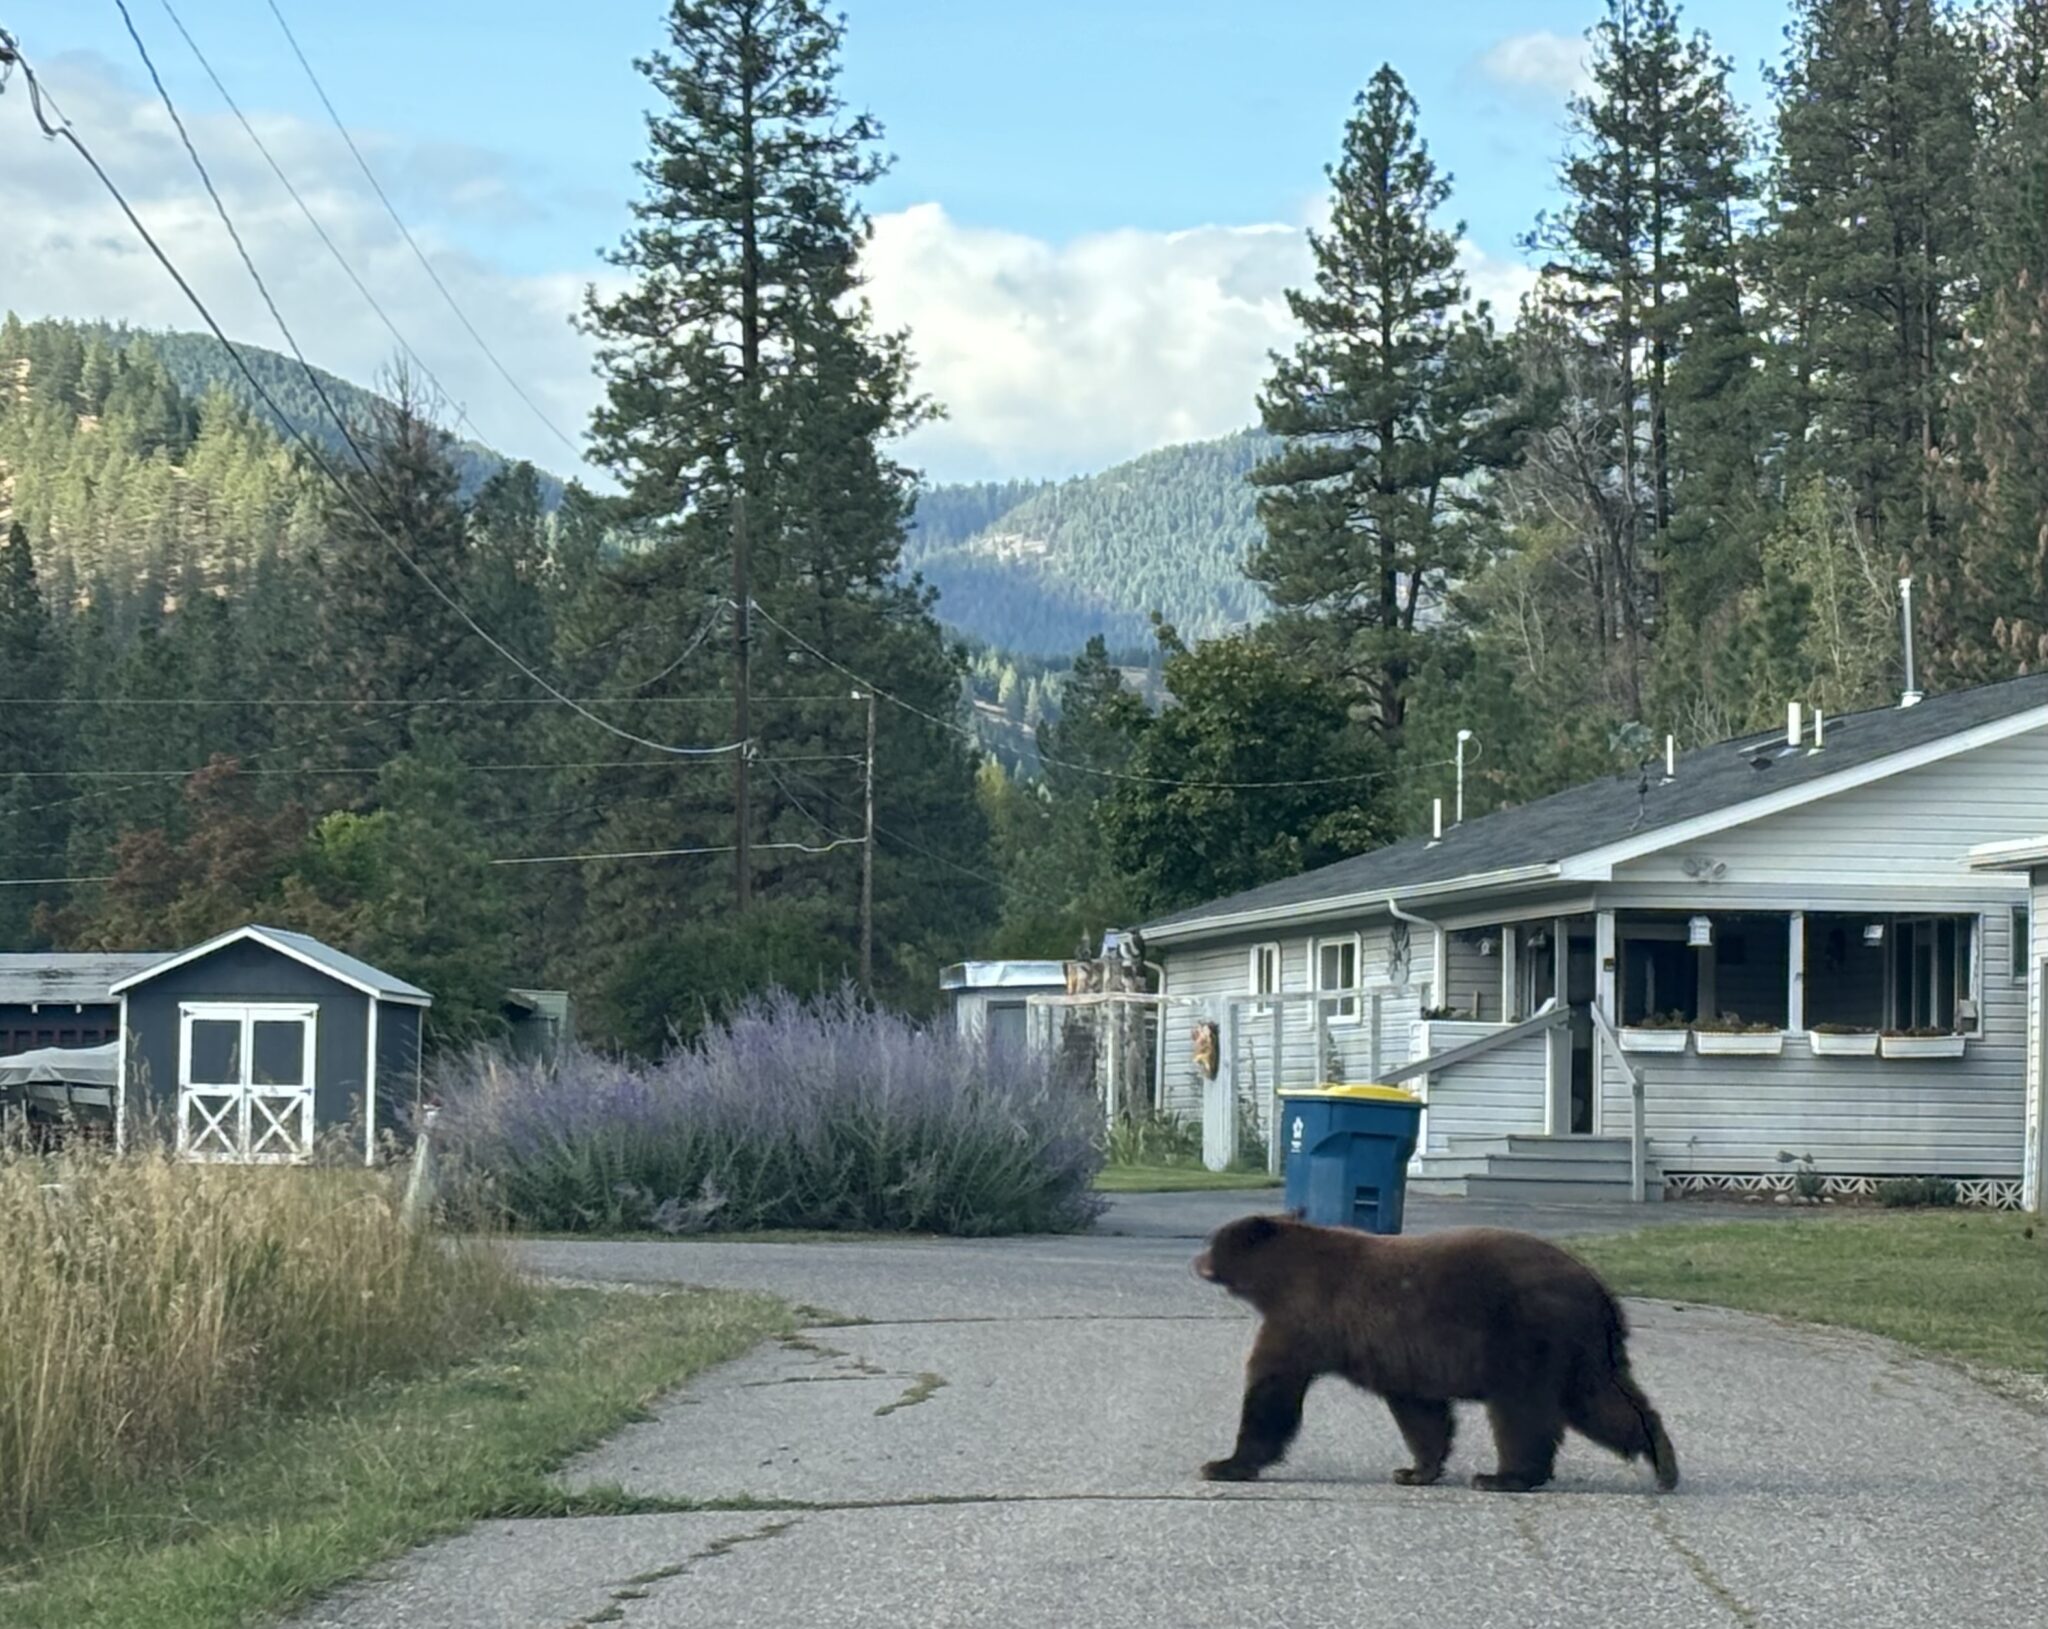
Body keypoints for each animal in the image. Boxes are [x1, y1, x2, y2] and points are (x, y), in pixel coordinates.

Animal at [1193, 1213, 1678, 1494]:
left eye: (1213, 1240)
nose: (1196, 1259)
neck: (1279, 1277)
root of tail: (1600, 1291)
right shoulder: (1399, 1353)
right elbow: (1421, 1412)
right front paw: (1415, 1471)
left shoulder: (1304, 1318)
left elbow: (1272, 1389)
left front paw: (1223, 1463)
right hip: (1580, 1353)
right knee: (1602, 1401)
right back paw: (1662, 1460)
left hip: (1526, 1340)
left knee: (1522, 1412)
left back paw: (1504, 1477)